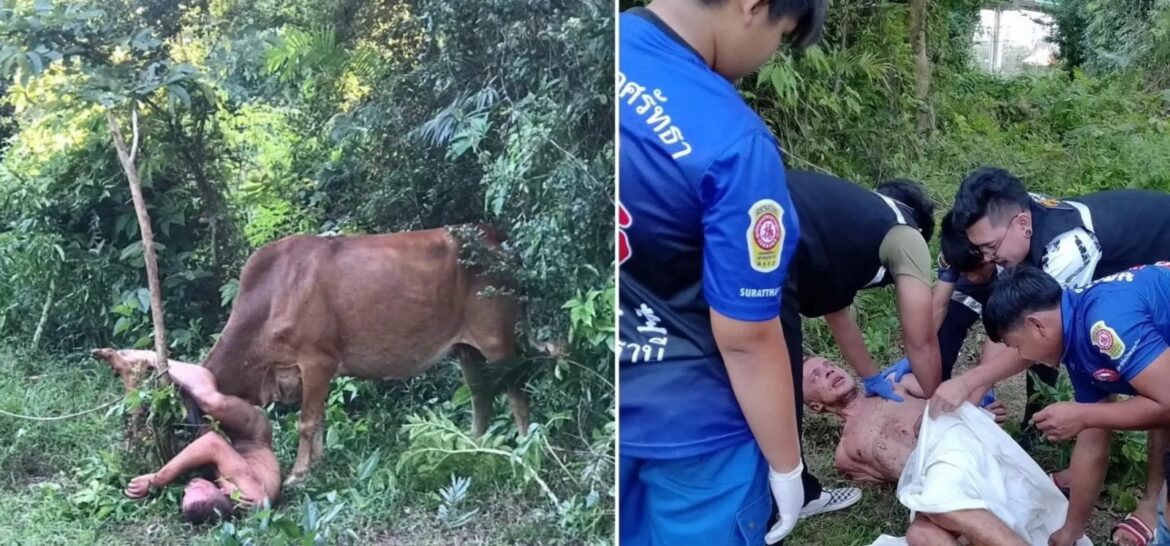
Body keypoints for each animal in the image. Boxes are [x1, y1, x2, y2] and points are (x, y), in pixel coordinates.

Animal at [186, 225, 529, 485]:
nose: (203, 475)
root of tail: (497, 239)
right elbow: (319, 419)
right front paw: (318, 463)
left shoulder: (317, 361)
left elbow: (306, 422)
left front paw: (298, 473)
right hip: (465, 348)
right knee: (480, 395)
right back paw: (475, 446)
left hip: (496, 339)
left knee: (516, 391)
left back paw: (526, 445)